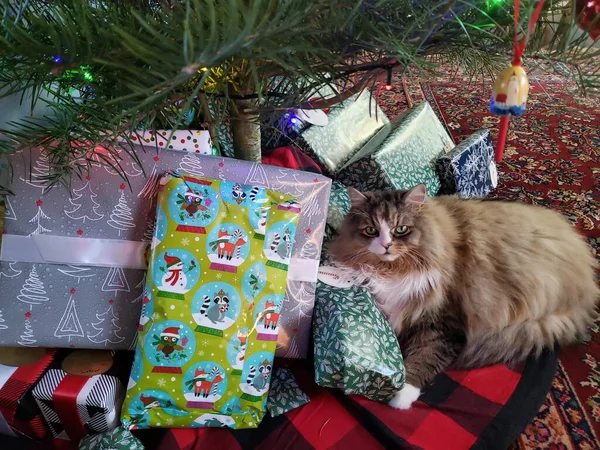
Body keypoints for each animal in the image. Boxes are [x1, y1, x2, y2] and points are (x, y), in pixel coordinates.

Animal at [328, 185, 600, 410]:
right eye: (371, 230)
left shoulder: (444, 323)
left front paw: (401, 396)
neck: (393, 270)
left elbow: (425, 357)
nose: (386, 245)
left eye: (401, 230)